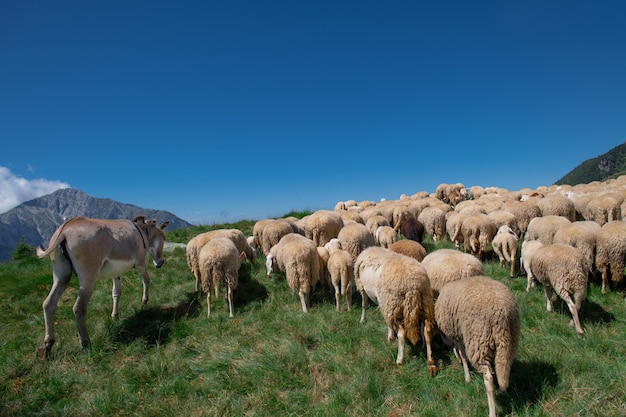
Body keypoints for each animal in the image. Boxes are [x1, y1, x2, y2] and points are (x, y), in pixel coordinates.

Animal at [432, 274, 520, 416]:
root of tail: (501, 311)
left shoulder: (459, 334)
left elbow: (462, 355)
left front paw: (467, 376)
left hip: (478, 341)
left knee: (488, 377)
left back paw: (492, 411)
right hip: (509, 340)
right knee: (504, 366)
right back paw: (502, 390)